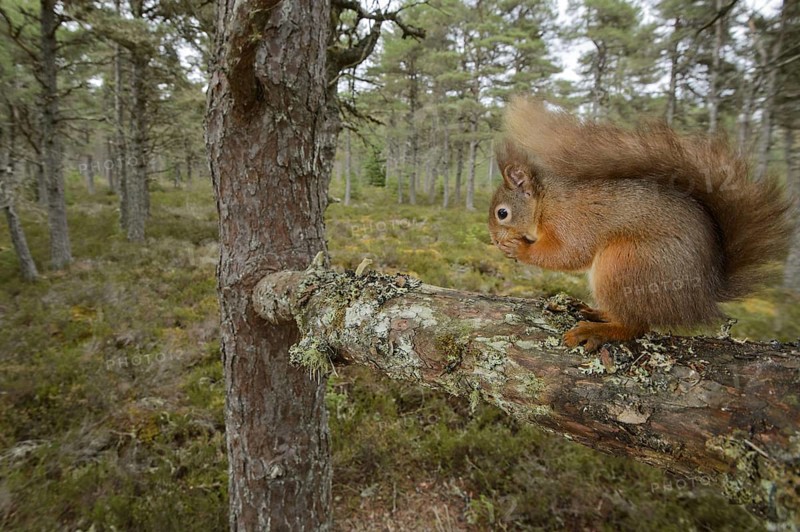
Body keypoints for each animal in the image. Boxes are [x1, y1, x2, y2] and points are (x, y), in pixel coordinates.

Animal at [488, 97, 793, 352]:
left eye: (502, 213)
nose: (493, 240)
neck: (545, 203)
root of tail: (703, 294)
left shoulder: (570, 221)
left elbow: (569, 253)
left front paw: (519, 249)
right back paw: (595, 311)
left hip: (625, 264)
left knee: (635, 326)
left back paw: (596, 330)